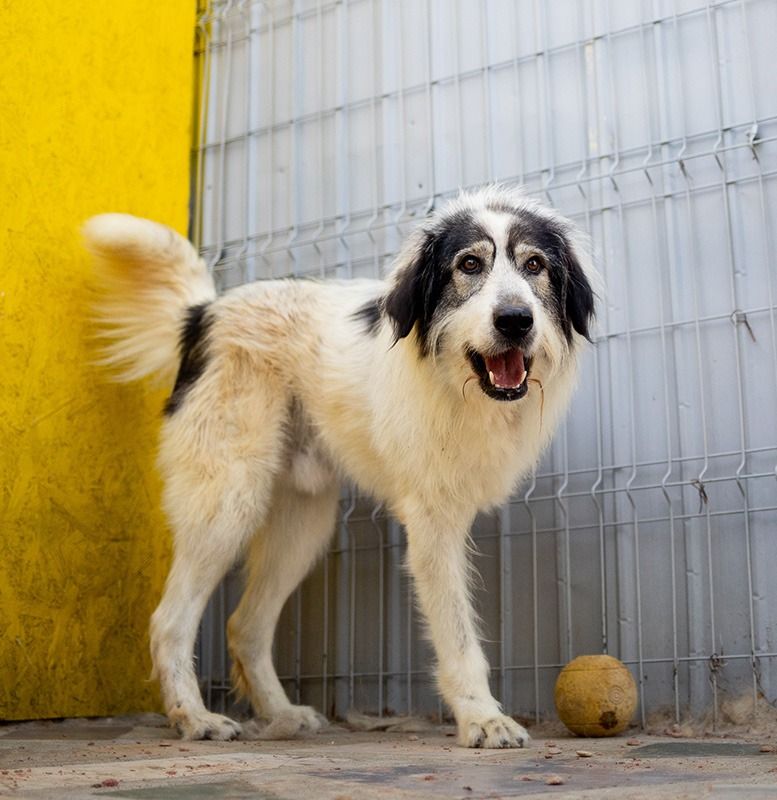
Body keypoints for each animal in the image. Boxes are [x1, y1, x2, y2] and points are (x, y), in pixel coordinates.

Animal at [85, 188, 596, 752]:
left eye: (535, 265)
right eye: (468, 265)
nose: (515, 320)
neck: (461, 386)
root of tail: (204, 314)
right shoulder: (432, 526)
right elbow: (458, 636)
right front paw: (482, 719)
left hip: (302, 524)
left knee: (245, 626)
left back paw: (282, 714)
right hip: (227, 503)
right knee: (169, 622)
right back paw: (195, 718)